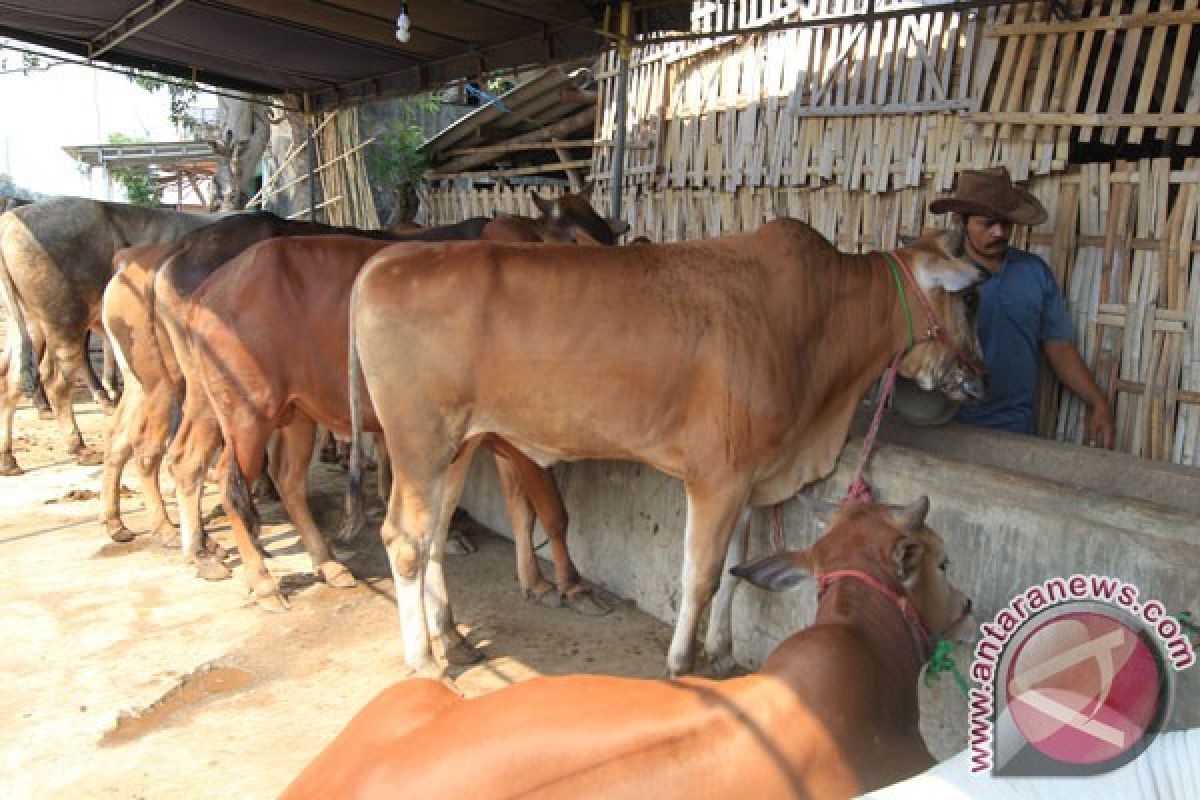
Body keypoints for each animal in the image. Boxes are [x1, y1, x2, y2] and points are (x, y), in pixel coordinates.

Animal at [348, 220, 984, 676]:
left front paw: (721, 653)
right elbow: (699, 574)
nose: (980, 375)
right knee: (404, 541)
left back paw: (452, 638)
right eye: (970, 301)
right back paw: (425, 660)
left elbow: (735, 571)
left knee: (433, 538)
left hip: (456, 447)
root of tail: (382, 262)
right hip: (420, 443)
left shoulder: (753, 477)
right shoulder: (717, 476)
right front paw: (682, 660)